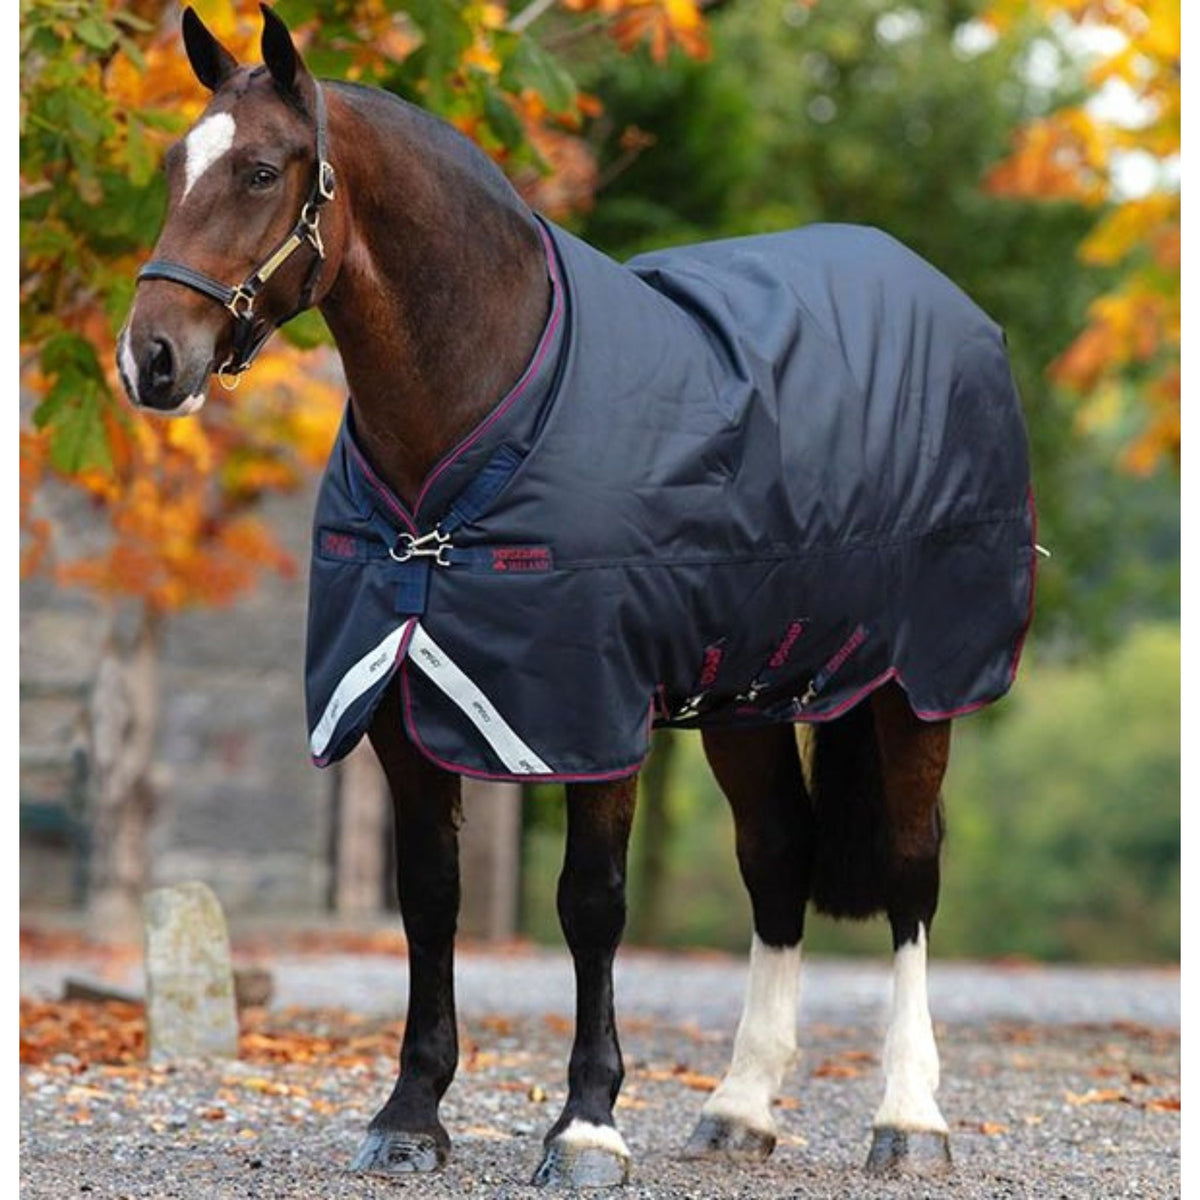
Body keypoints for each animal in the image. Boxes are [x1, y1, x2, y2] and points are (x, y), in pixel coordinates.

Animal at [121, 7, 1036, 1190]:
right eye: (171, 165)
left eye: (262, 170)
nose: (150, 358)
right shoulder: (401, 713)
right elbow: (430, 897)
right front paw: (410, 1115)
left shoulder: (589, 714)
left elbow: (592, 903)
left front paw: (588, 1124)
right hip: (748, 695)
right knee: (778, 858)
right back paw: (740, 1106)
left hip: (916, 686)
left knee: (914, 874)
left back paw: (910, 1118)